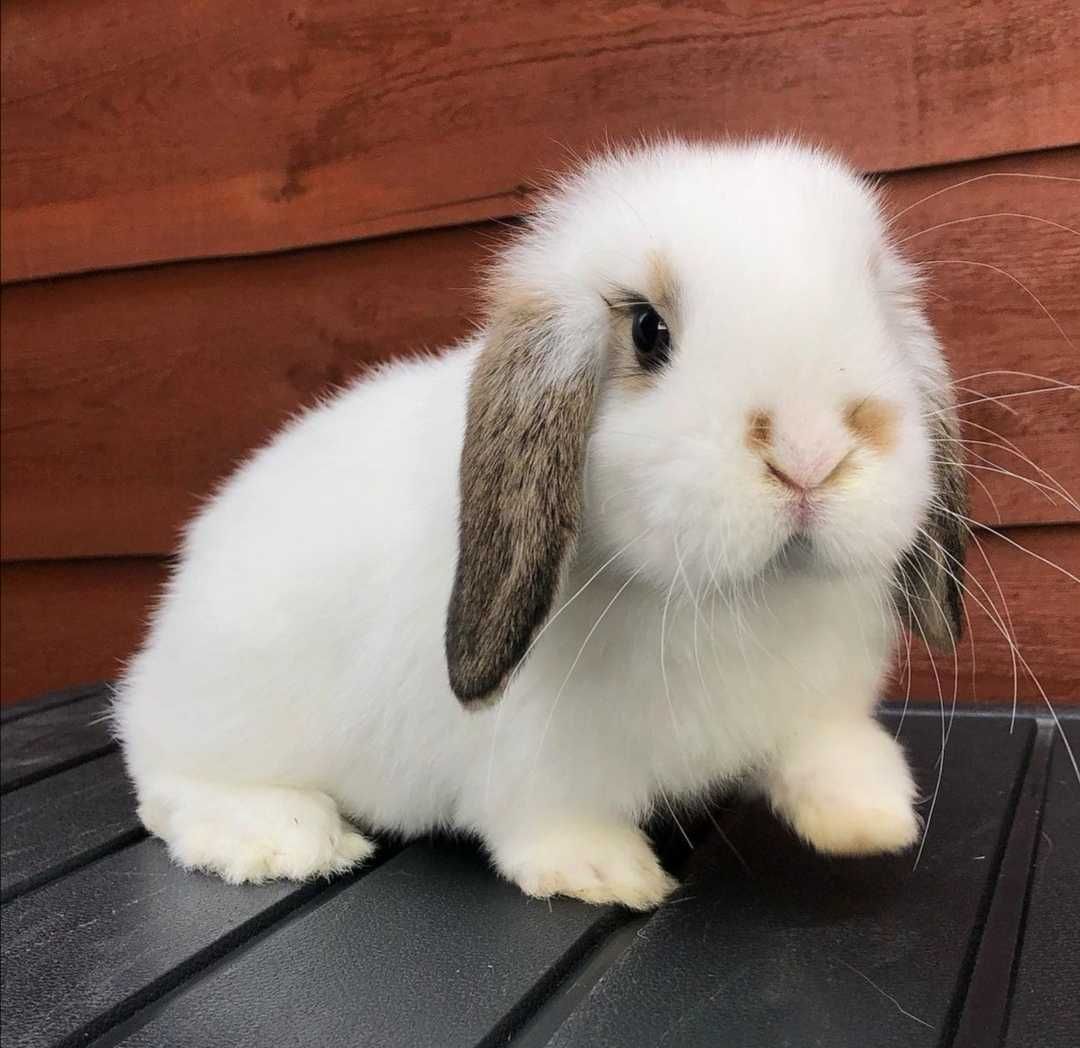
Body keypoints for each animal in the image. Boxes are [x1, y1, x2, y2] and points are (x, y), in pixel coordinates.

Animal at [113, 139, 967, 907]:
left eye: (878, 309)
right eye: (648, 330)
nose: (811, 455)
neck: (733, 602)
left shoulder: (815, 700)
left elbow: (823, 744)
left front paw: (869, 814)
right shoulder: (536, 762)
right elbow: (550, 817)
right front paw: (602, 872)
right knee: (165, 780)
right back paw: (283, 838)